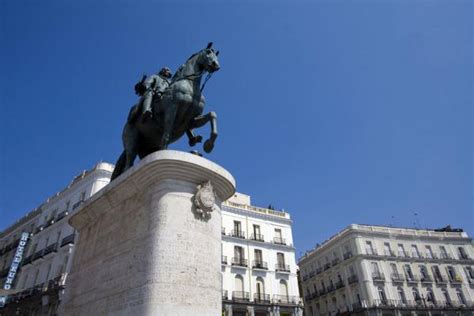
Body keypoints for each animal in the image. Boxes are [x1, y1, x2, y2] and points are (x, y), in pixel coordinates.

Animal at [112, 42, 221, 180]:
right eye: (208, 52)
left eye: (215, 55)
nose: (216, 65)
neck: (190, 85)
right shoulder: (172, 110)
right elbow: (167, 134)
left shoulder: (191, 120)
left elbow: (212, 115)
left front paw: (209, 145)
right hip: (132, 141)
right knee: (128, 163)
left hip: (146, 149)